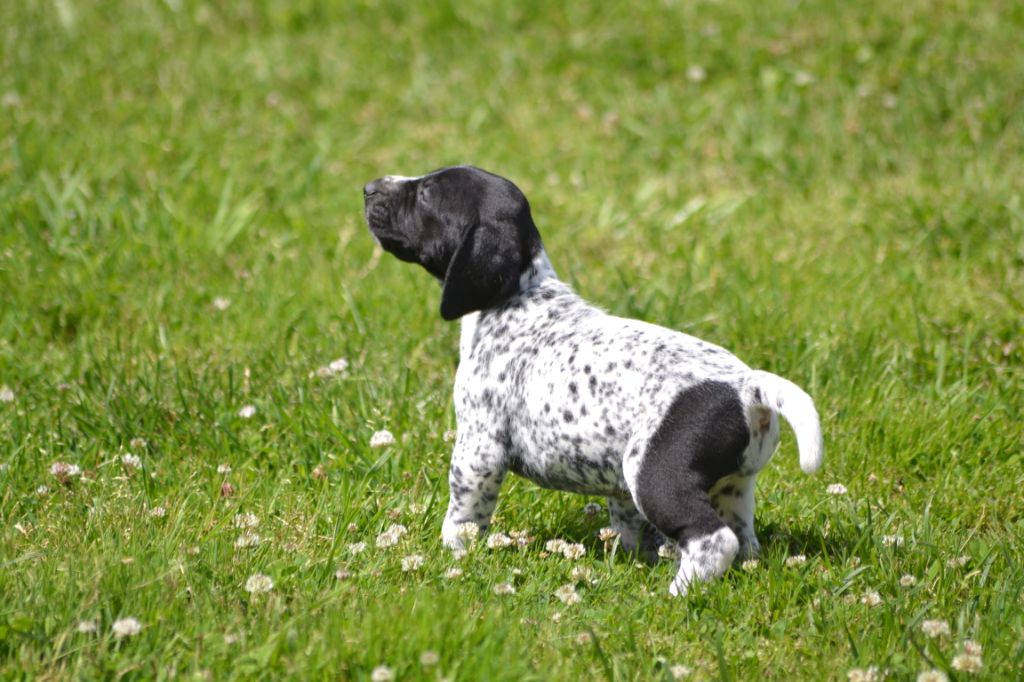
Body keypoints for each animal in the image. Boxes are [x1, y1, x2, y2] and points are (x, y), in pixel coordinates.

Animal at [362, 163, 823, 589]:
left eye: (426, 192)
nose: (368, 187)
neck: (519, 297)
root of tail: (748, 386)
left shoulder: (480, 448)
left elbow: (463, 517)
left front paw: (453, 555)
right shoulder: (620, 491)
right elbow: (632, 530)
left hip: (655, 475)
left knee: (714, 541)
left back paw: (677, 592)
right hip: (733, 488)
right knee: (744, 541)